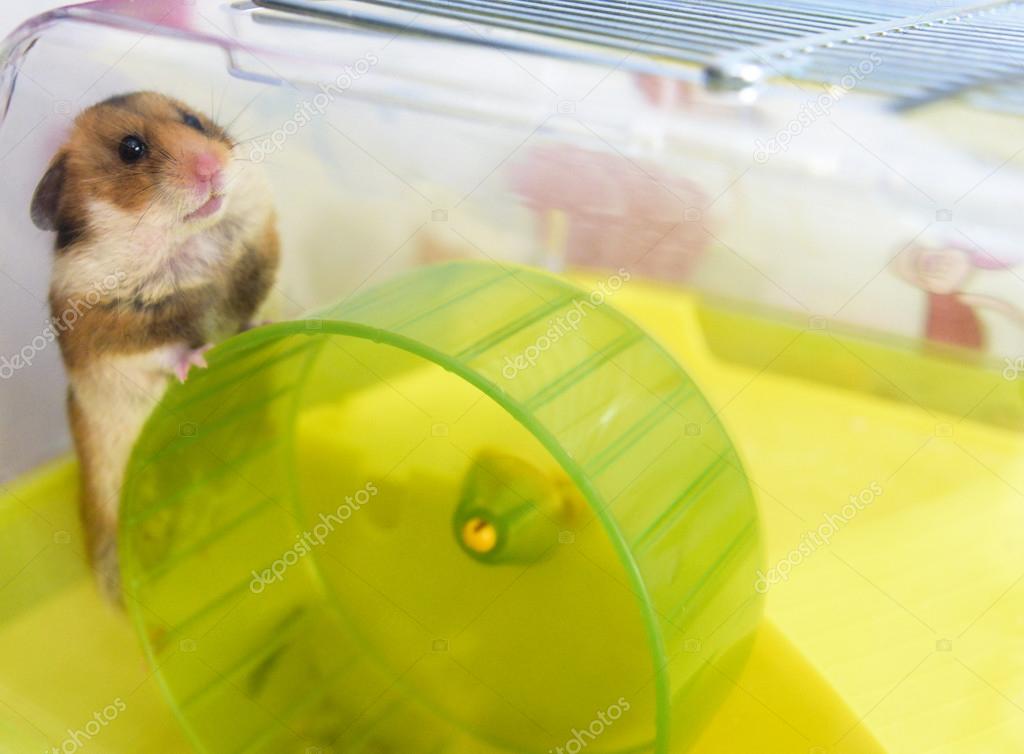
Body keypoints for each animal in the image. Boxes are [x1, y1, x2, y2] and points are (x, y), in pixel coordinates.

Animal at [30, 92, 280, 603]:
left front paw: (264, 325)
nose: (211, 167)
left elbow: (242, 317)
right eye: (131, 149)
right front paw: (199, 360)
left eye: (193, 121)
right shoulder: (112, 341)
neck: (185, 239)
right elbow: (165, 352)